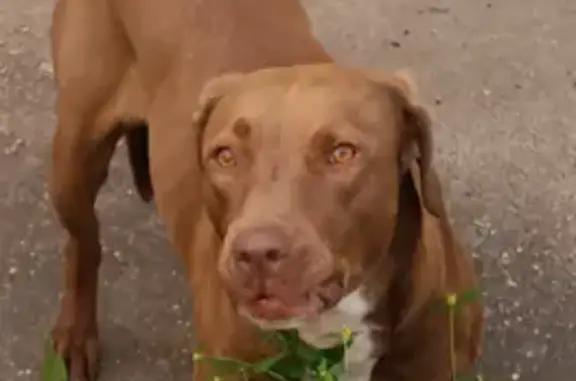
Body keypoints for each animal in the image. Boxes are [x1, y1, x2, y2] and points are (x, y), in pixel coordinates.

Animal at [48, 0, 482, 380]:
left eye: (342, 153)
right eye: (225, 156)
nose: (255, 254)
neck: (335, 329)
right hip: (74, 155)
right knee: (84, 242)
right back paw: (76, 335)